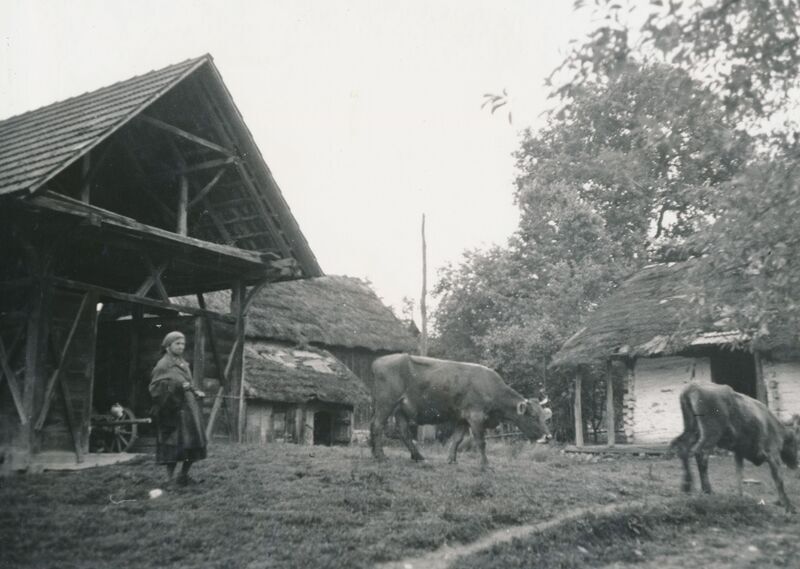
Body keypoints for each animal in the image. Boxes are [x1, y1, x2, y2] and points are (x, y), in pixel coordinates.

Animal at [668, 382, 800, 510]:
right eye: (796, 443)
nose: (795, 464)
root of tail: (693, 386)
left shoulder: (739, 452)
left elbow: (739, 474)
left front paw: (740, 497)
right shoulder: (772, 455)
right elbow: (779, 479)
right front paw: (788, 505)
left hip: (692, 430)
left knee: (682, 447)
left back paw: (686, 486)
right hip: (710, 434)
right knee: (700, 453)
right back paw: (707, 490)